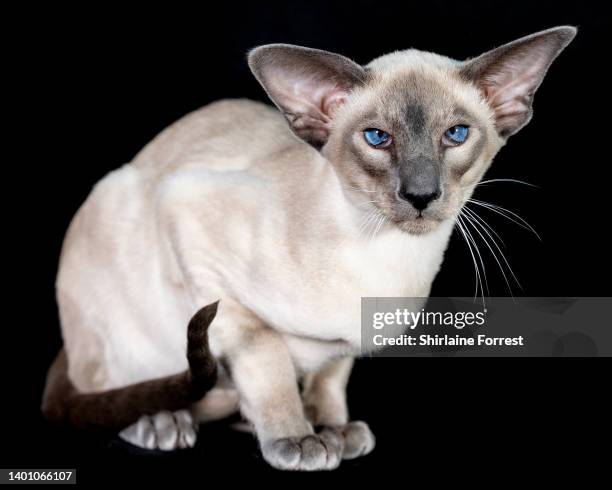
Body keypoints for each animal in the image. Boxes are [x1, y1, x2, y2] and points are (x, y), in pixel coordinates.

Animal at [41, 26, 572, 470]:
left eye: (456, 135)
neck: (385, 260)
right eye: (377, 138)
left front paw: (333, 427)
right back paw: (162, 421)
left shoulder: (346, 345)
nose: (421, 195)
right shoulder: (191, 224)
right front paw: (296, 437)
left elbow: (331, 376)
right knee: (116, 386)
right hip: (118, 215)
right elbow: (268, 357)